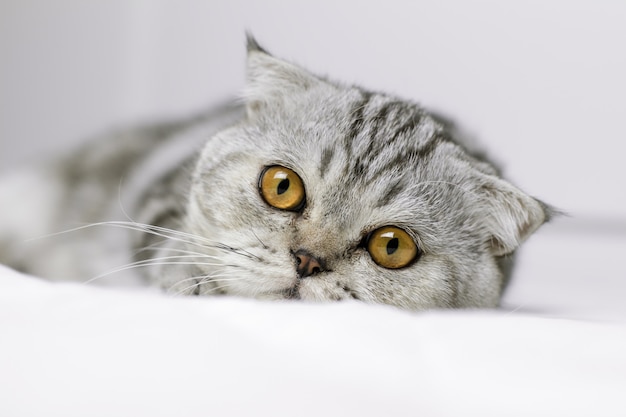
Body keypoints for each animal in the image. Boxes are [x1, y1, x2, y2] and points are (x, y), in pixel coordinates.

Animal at [0, 35, 552, 308]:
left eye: (392, 247)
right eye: (281, 187)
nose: (307, 261)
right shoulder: (153, 201)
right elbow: (169, 245)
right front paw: (195, 281)